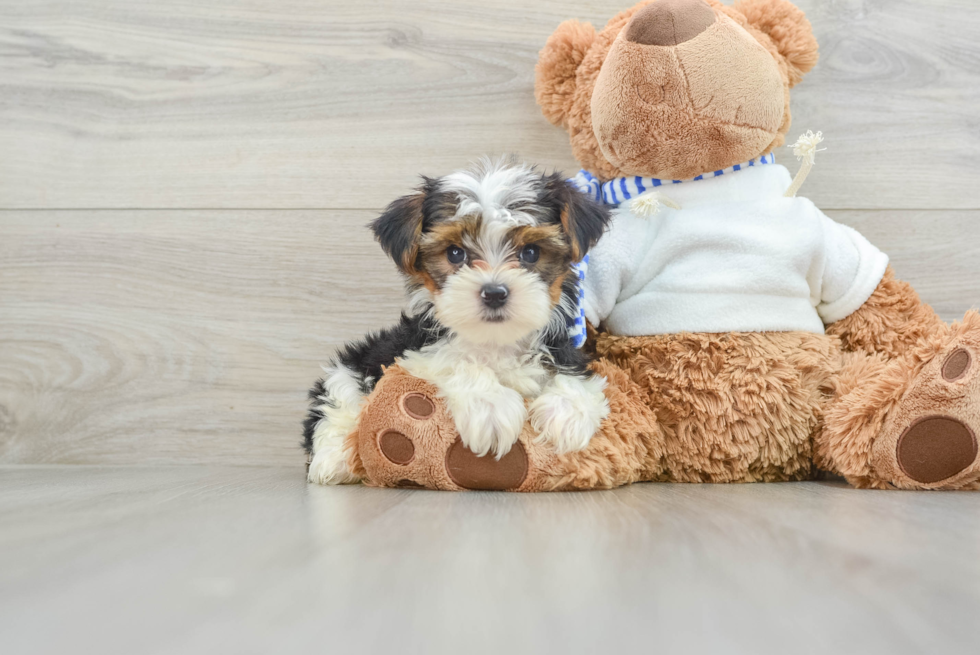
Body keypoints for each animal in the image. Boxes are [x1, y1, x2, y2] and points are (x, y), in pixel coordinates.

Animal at [306, 160, 608, 486]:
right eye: (455, 253)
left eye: (530, 252)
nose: (494, 293)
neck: (495, 340)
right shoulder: (410, 356)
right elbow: (454, 360)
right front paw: (491, 406)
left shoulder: (563, 349)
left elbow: (573, 375)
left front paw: (568, 413)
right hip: (353, 366)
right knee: (336, 404)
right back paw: (334, 461)